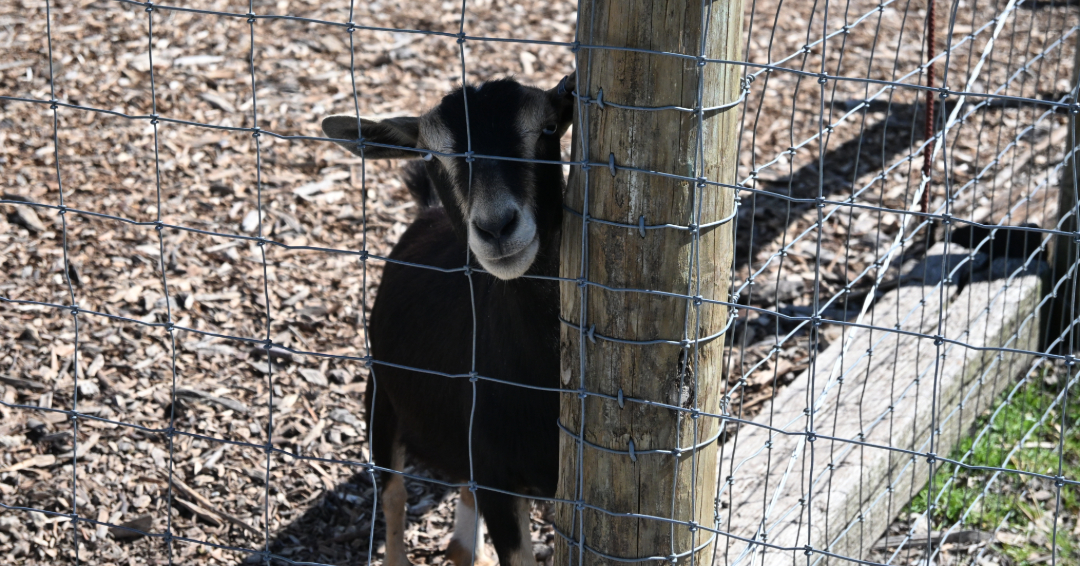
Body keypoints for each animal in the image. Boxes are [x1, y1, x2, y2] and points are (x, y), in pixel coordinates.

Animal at [322, 73, 575, 566]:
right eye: (431, 153)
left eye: (549, 128)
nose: (496, 228)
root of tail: (427, 212)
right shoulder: (497, 478)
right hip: (380, 397)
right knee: (393, 493)